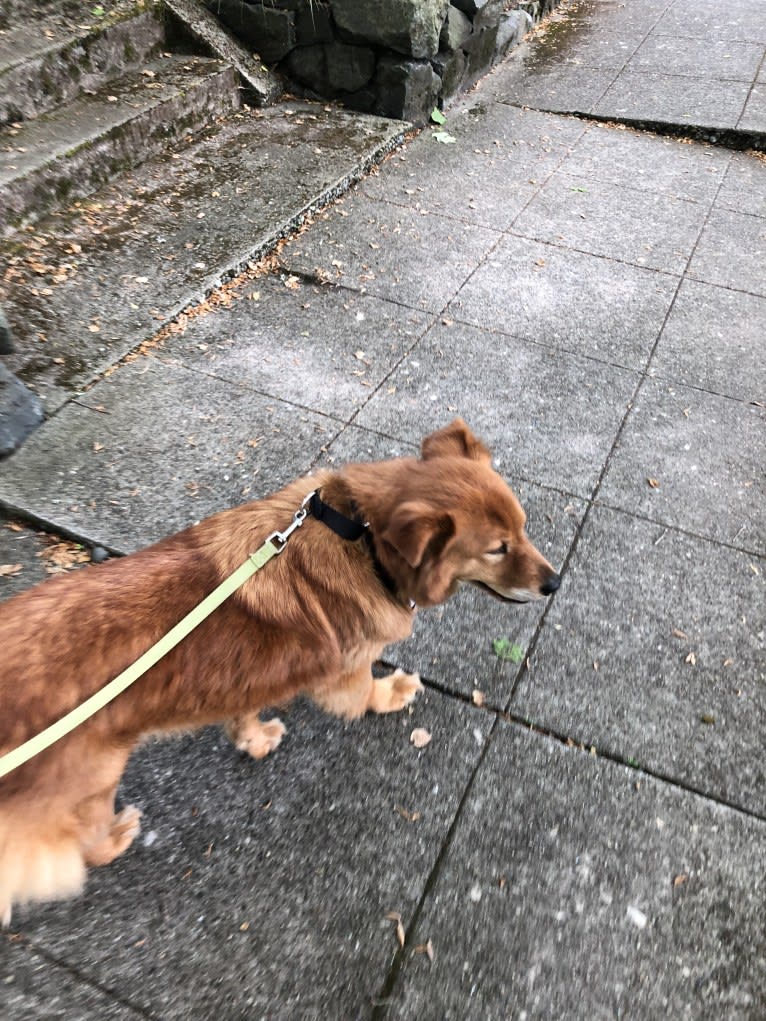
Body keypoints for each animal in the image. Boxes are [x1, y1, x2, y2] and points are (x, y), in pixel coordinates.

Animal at [1, 418, 563, 922]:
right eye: (496, 549)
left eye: (523, 528)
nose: (555, 584)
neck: (361, 538)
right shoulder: (346, 669)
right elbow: (364, 694)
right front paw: (392, 693)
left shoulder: (245, 677)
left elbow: (244, 710)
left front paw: (252, 739)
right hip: (93, 782)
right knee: (81, 843)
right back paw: (116, 836)